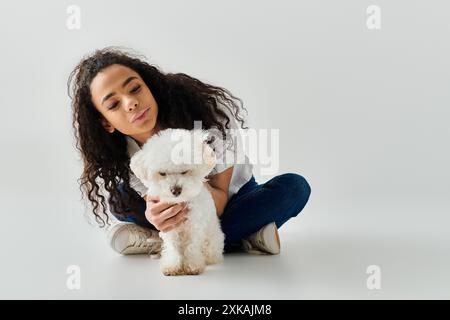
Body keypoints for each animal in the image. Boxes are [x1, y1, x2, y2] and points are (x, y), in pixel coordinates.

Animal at [131, 127, 225, 276]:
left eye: (185, 171)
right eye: (162, 173)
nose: (175, 190)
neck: (180, 202)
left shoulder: (195, 226)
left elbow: (192, 246)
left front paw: (192, 265)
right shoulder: (169, 227)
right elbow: (173, 248)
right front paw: (172, 266)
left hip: (212, 240)